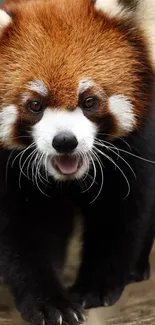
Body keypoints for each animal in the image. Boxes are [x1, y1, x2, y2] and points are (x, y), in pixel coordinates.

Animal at [0, 0, 154, 322]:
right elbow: (24, 230)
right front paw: (49, 303)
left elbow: (120, 213)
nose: (64, 142)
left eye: (89, 101)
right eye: (35, 105)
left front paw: (95, 287)